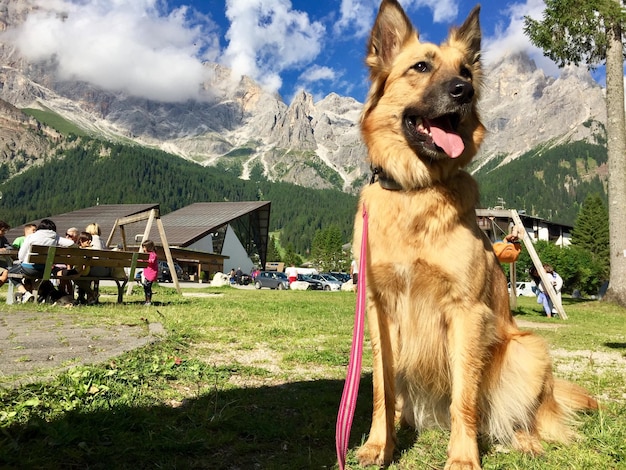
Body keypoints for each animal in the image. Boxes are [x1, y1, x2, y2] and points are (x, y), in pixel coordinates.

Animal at [352, 1, 596, 468]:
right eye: (421, 66)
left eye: (465, 70)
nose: (463, 91)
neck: (417, 191)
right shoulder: (379, 310)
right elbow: (380, 390)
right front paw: (378, 446)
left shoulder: (465, 314)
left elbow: (464, 396)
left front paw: (463, 458)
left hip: (528, 350)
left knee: (524, 415)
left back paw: (526, 440)